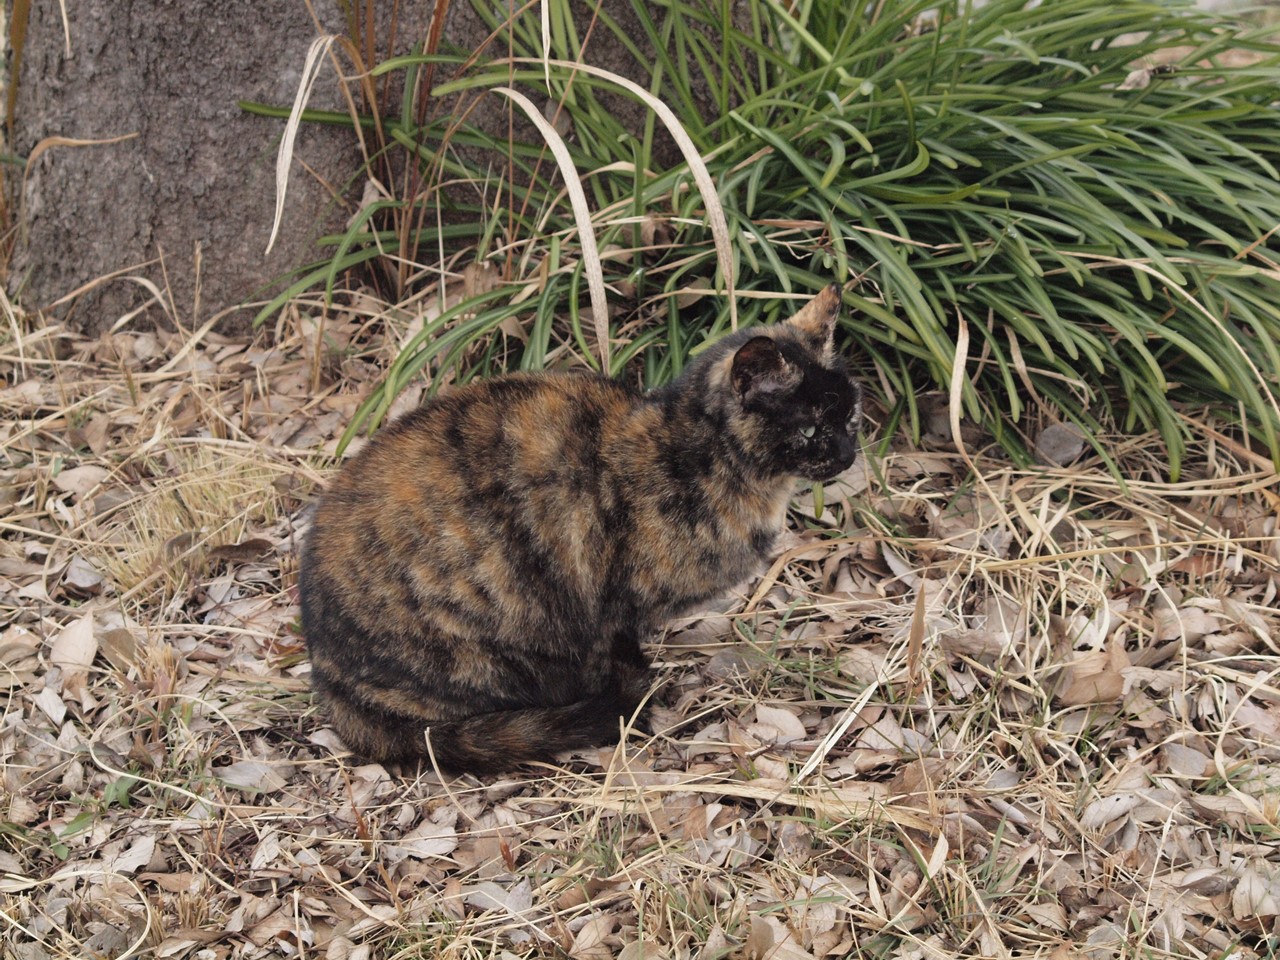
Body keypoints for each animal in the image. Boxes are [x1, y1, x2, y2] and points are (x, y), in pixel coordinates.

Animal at [296, 284, 860, 773]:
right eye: (810, 429)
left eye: (851, 418)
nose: (848, 455)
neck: (696, 456)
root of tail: (329, 680)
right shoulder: (608, 609)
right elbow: (617, 657)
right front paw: (636, 699)